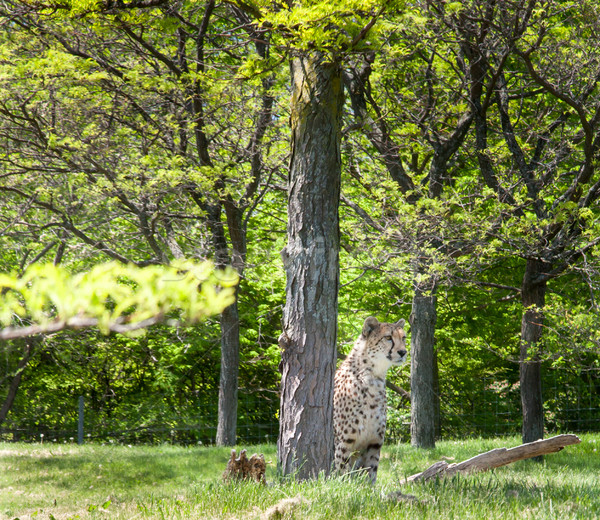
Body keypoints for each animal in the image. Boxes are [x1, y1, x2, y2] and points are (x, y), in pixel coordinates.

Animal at [332, 316, 408, 484]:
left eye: (404, 338)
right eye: (388, 337)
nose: (403, 352)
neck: (373, 377)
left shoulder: (374, 442)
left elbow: (371, 473)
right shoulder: (344, 442)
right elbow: (342, 473)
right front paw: (344, 486)